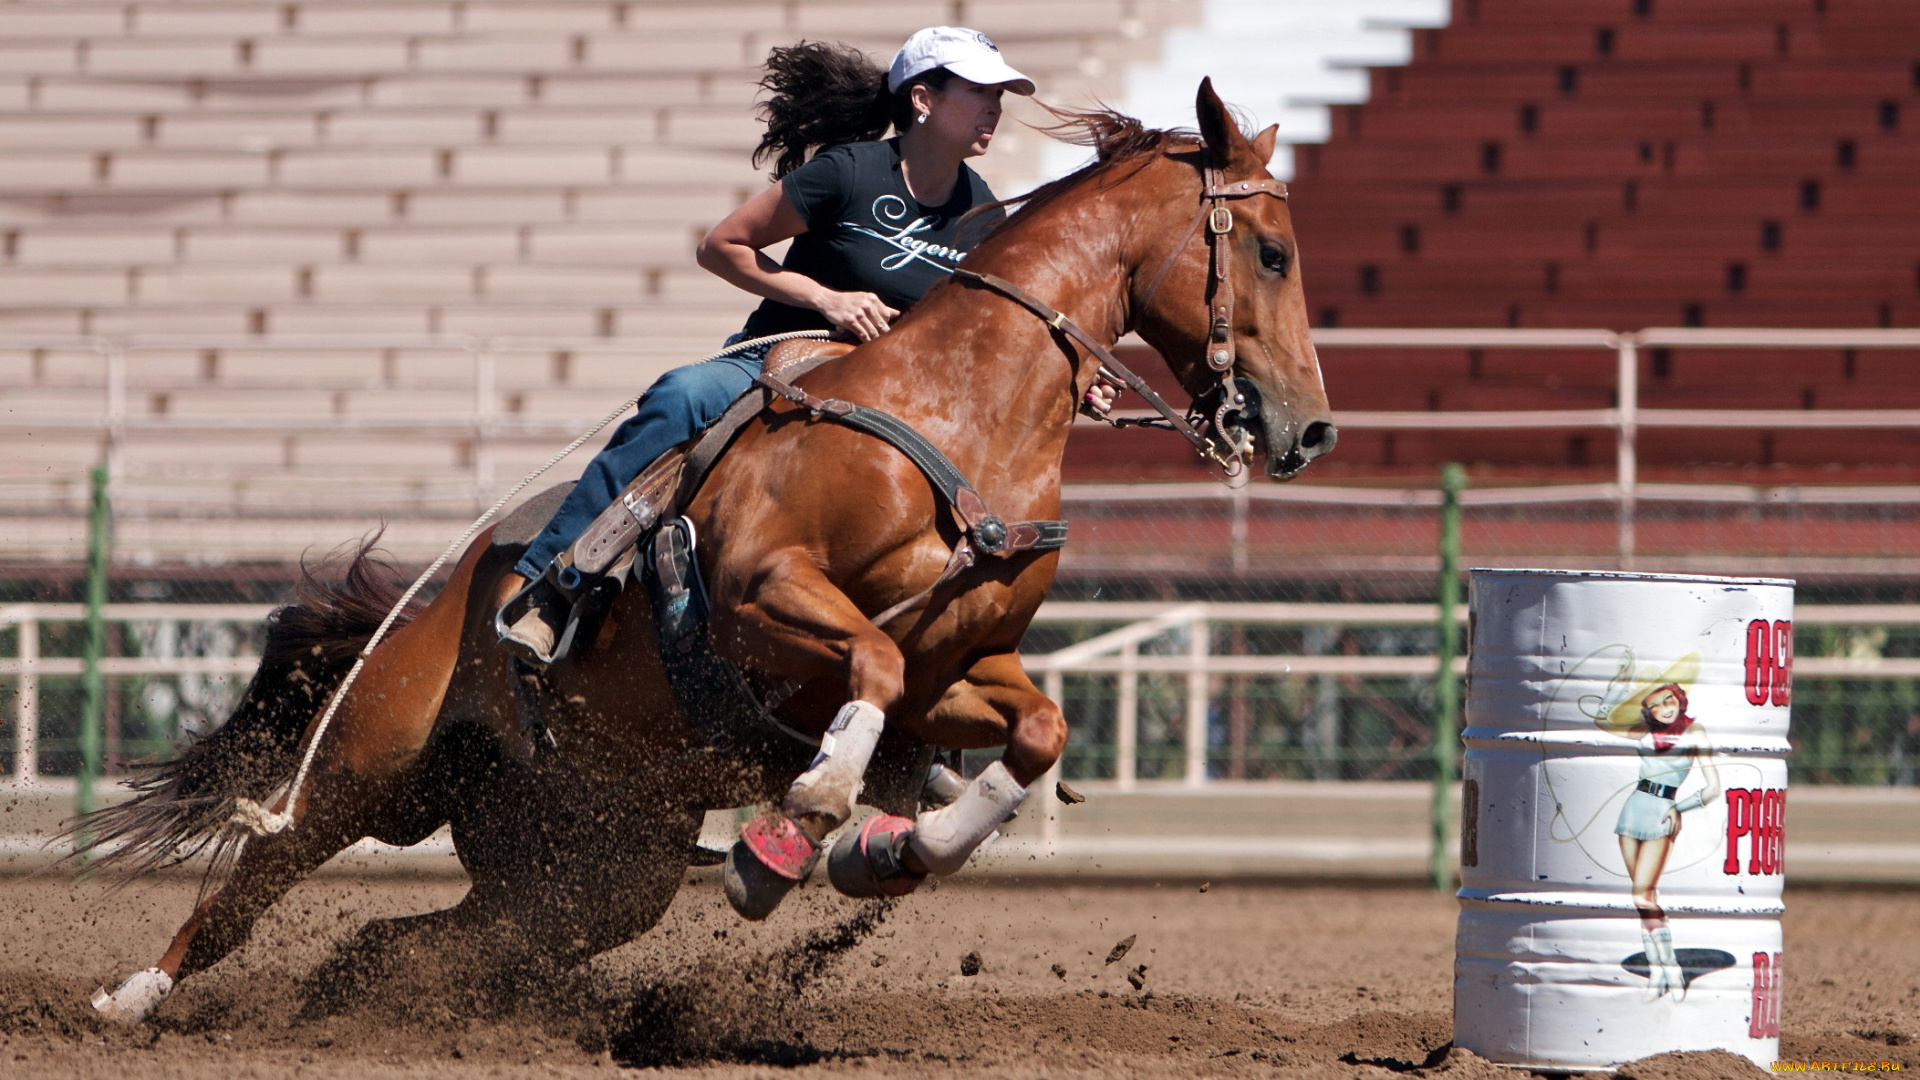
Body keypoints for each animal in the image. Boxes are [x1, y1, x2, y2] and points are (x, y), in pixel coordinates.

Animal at [78, 84, 1336, 1014]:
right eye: (1272, 251)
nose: (1309, 429)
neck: (959, 413)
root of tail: (432, 602)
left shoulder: (963, 670)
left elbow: (1036, 732)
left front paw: (893, 848)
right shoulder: (760, 599)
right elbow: (871, 667)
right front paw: (807, 818)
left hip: (592, 862)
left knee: (416, 939)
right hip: (373, 766)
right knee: (256, 878)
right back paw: (132, 1000)